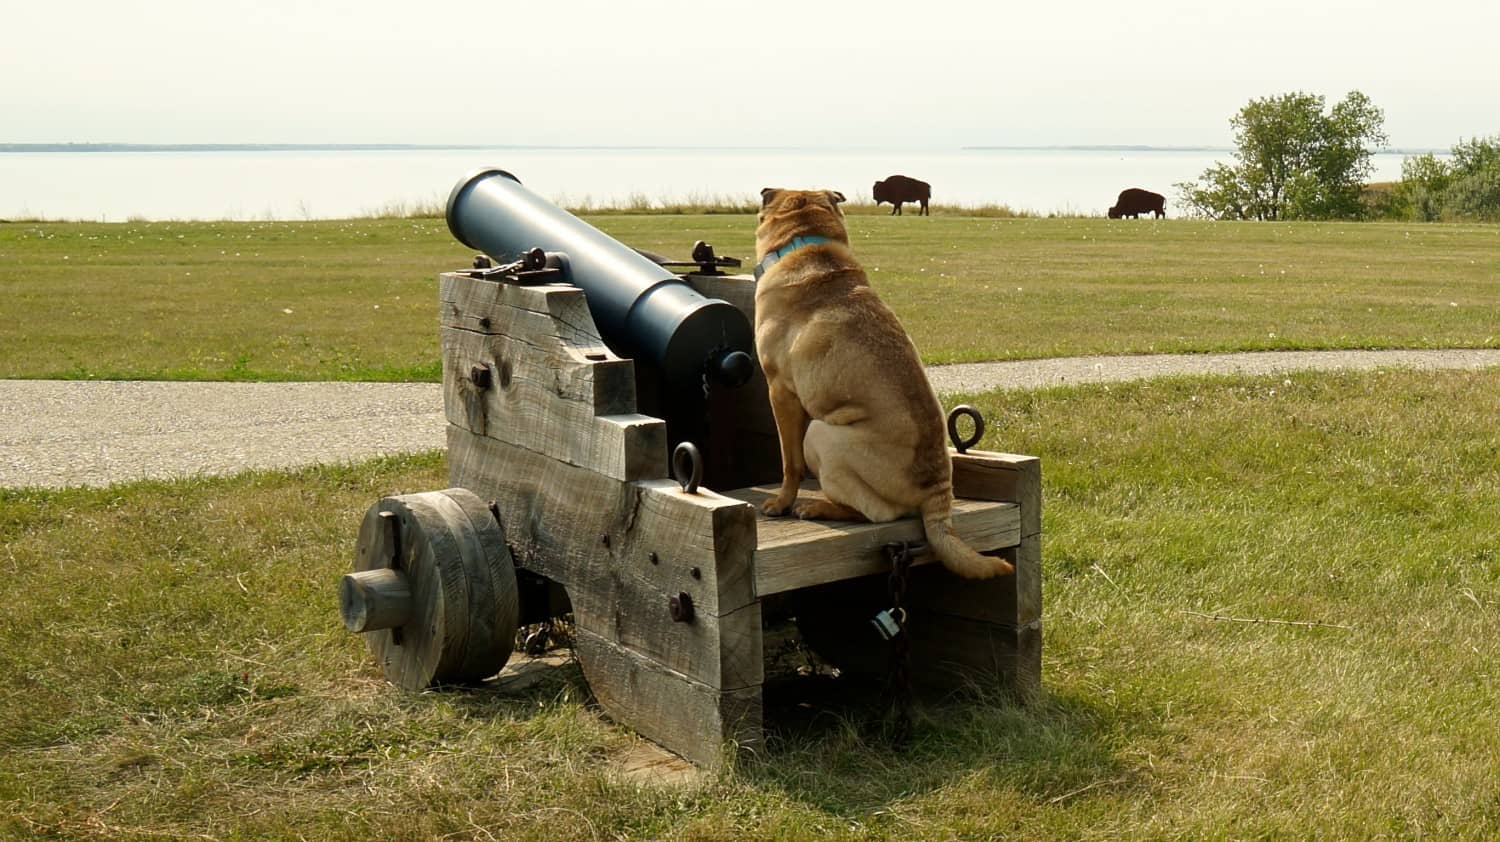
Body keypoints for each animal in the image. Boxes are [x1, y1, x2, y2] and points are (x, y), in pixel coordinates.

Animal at [756, 186, 1014, 576]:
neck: (807, 242)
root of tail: (937, 490)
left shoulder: (780, 392)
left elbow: (789, 462)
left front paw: (782, 502)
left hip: (821, 435)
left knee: (876, 514)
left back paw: (818, 507)